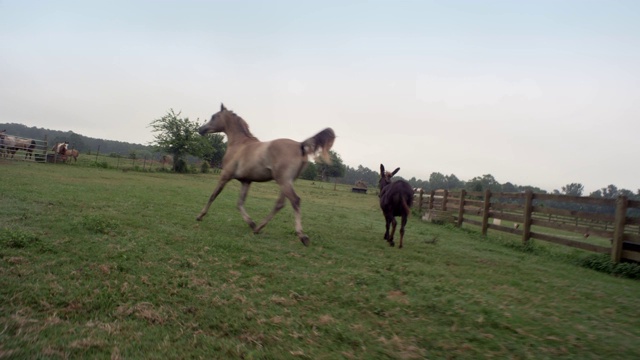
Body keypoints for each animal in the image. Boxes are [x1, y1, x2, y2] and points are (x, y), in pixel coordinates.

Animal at [195, 102, 336, 246]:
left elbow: (213, 195)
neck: (239, 145)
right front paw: (251, 223)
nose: (200, 129)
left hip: (284, 181)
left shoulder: (225, 175)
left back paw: (302, 236)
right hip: (287, 182)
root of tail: (300, 145)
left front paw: (200, 216)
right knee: (280, 204)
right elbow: (239, 203)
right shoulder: (246, 181)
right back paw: (258, 228)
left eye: (214, 116)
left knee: (295, 201)